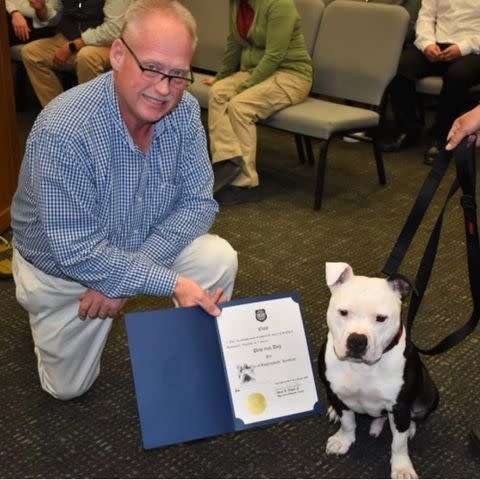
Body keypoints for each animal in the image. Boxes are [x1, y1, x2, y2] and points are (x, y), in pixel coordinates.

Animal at [318, 264, 438, 478]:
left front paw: (402, 467)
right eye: (343, 312)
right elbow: (348, 422)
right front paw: (343, 440)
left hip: (428, 393)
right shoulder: (336, 392)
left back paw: (409, 427)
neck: (362, 368)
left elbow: (398, 443)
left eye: (381, 318)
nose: (357, 340)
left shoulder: (400, 407)